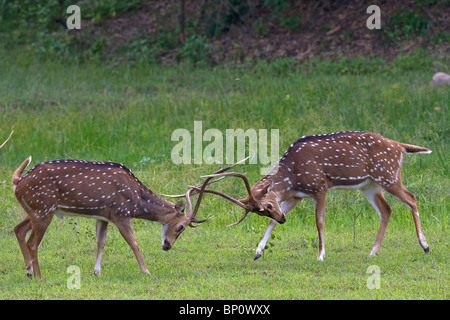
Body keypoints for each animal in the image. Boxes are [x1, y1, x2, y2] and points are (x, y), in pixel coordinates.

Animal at [12, 158, 237, 280]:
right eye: (181, 226)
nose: (167, 246)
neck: (136, 200)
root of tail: (18, 182)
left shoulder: (103, 215)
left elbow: (100, 242)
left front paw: (97, 272)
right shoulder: (120, 213)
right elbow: (134, 242)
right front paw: (146, 271)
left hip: (35, 210)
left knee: (18, 229)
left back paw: (29, 272)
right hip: (43, 208)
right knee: (33, 242)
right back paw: (39, 277)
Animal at [184, 131, 432, 262]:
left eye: (268, 204)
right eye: (261, 211)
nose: (284, 219)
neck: (292, 174)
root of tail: (399, 146)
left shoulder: (319, 186)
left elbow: (319, 221)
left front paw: (321, 255)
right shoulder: (297, 195)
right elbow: (272, 225)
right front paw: (257, 252)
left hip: (387, 175)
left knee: (412, 198)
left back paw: (425, 245)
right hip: (369, 185)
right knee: (386, 210)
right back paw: (372, 252)